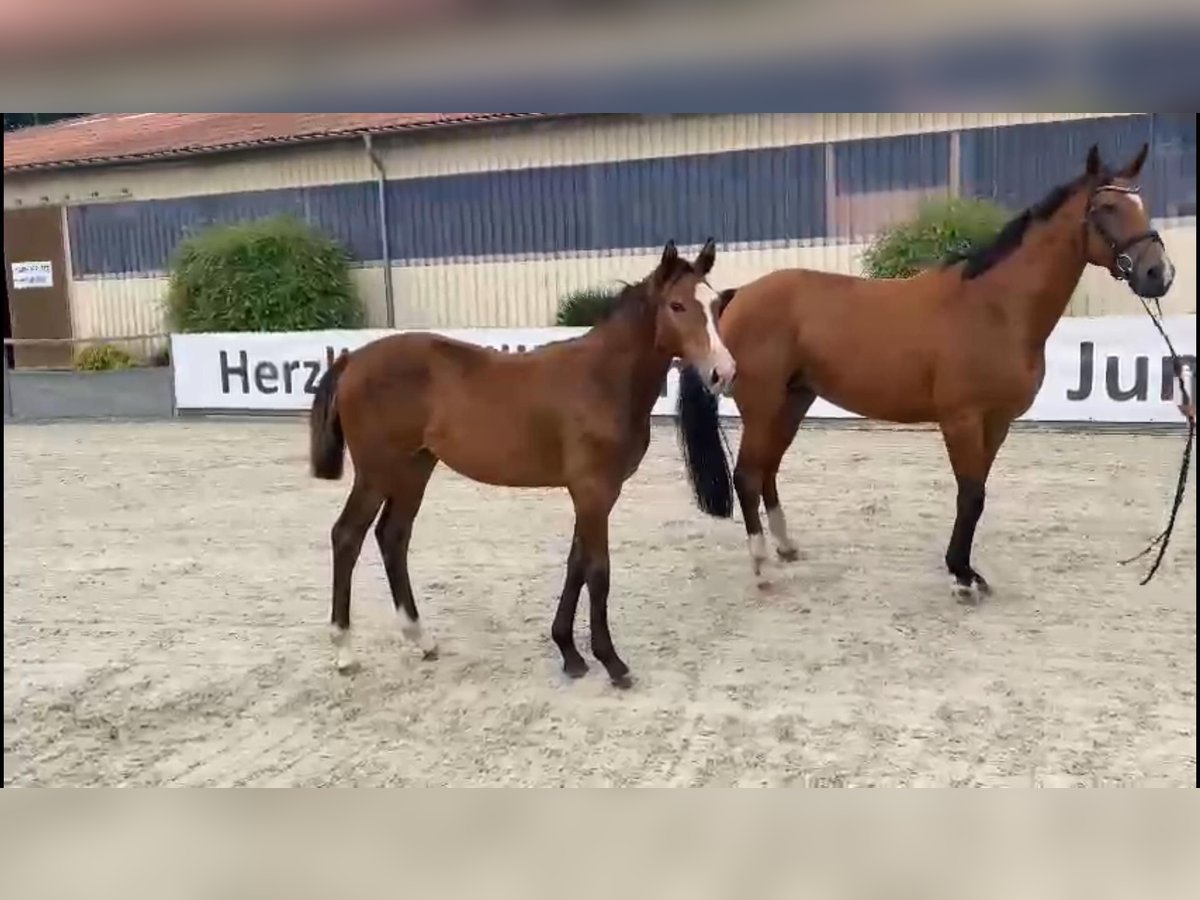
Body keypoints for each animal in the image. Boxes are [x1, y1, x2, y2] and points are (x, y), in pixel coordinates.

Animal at [307, 240, 729, 691]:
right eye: (677, 305)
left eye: (716, 303)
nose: (723, 372)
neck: (603, 379)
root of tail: (353, 360)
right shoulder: (593, 490)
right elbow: (598, 571)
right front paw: (612, 662)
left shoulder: (592, 493)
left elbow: (576, 564)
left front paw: (569, 653)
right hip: (376, 473)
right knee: (347, 537)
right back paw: (345, 652)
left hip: (414, 469)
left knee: (393, 537)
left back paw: (421, 638)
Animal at [681, 142, 1176, 600]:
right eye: (1106, 208)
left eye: (1143, 204)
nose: (1160, 274)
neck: (995, 308)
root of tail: (737, 295)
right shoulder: (961, 419)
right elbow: (970, 494)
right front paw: (962, 576)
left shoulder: (996, 423)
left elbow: (977, 493)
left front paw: (968, 571)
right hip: (764, 406)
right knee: (747, 475)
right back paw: (762, 568)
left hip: (792, 401)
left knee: (768, 469)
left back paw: (786, 548)